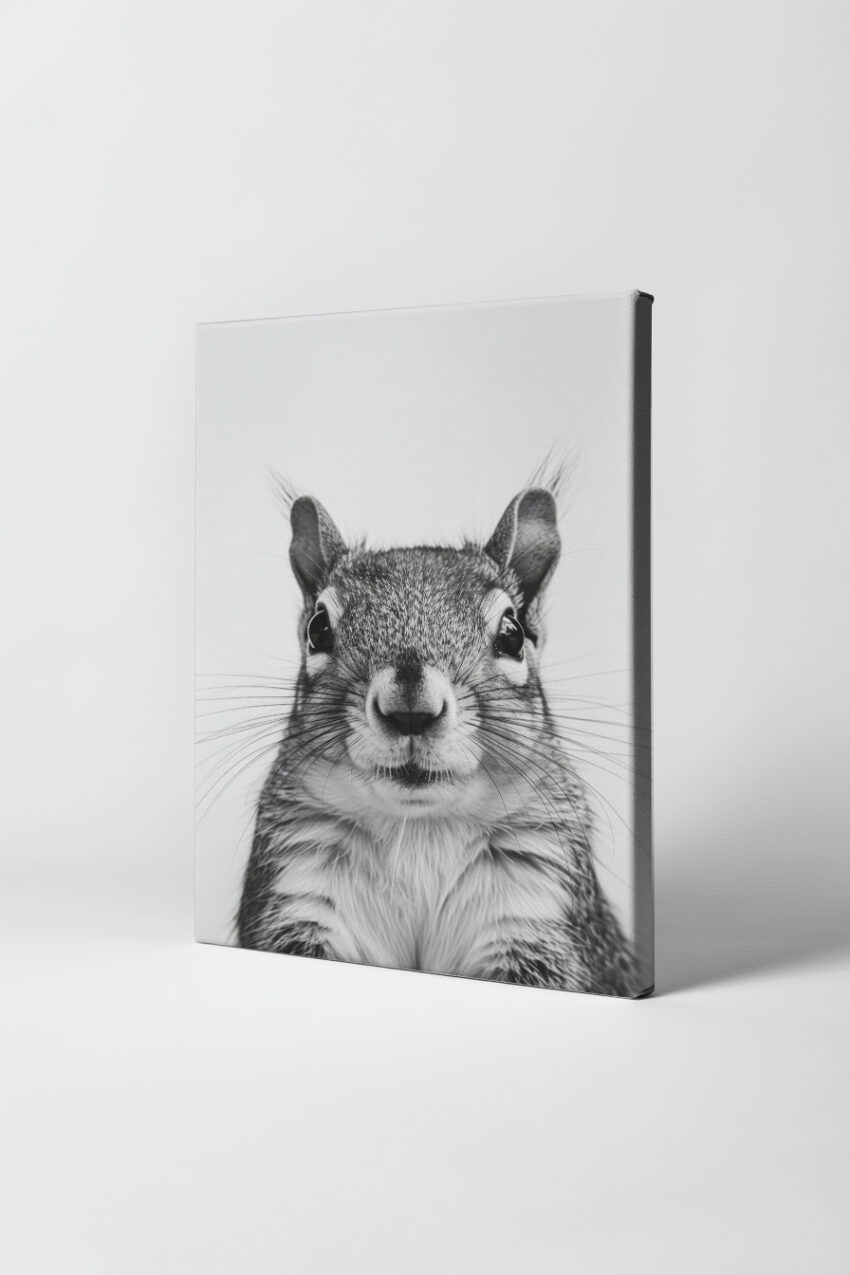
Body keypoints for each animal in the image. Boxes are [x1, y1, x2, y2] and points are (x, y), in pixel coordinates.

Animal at [237, 485, 637, 996]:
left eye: (513, 634)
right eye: (317, 628)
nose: (411, 709)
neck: (420, 831)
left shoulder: (536, 911)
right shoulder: (300, 887)